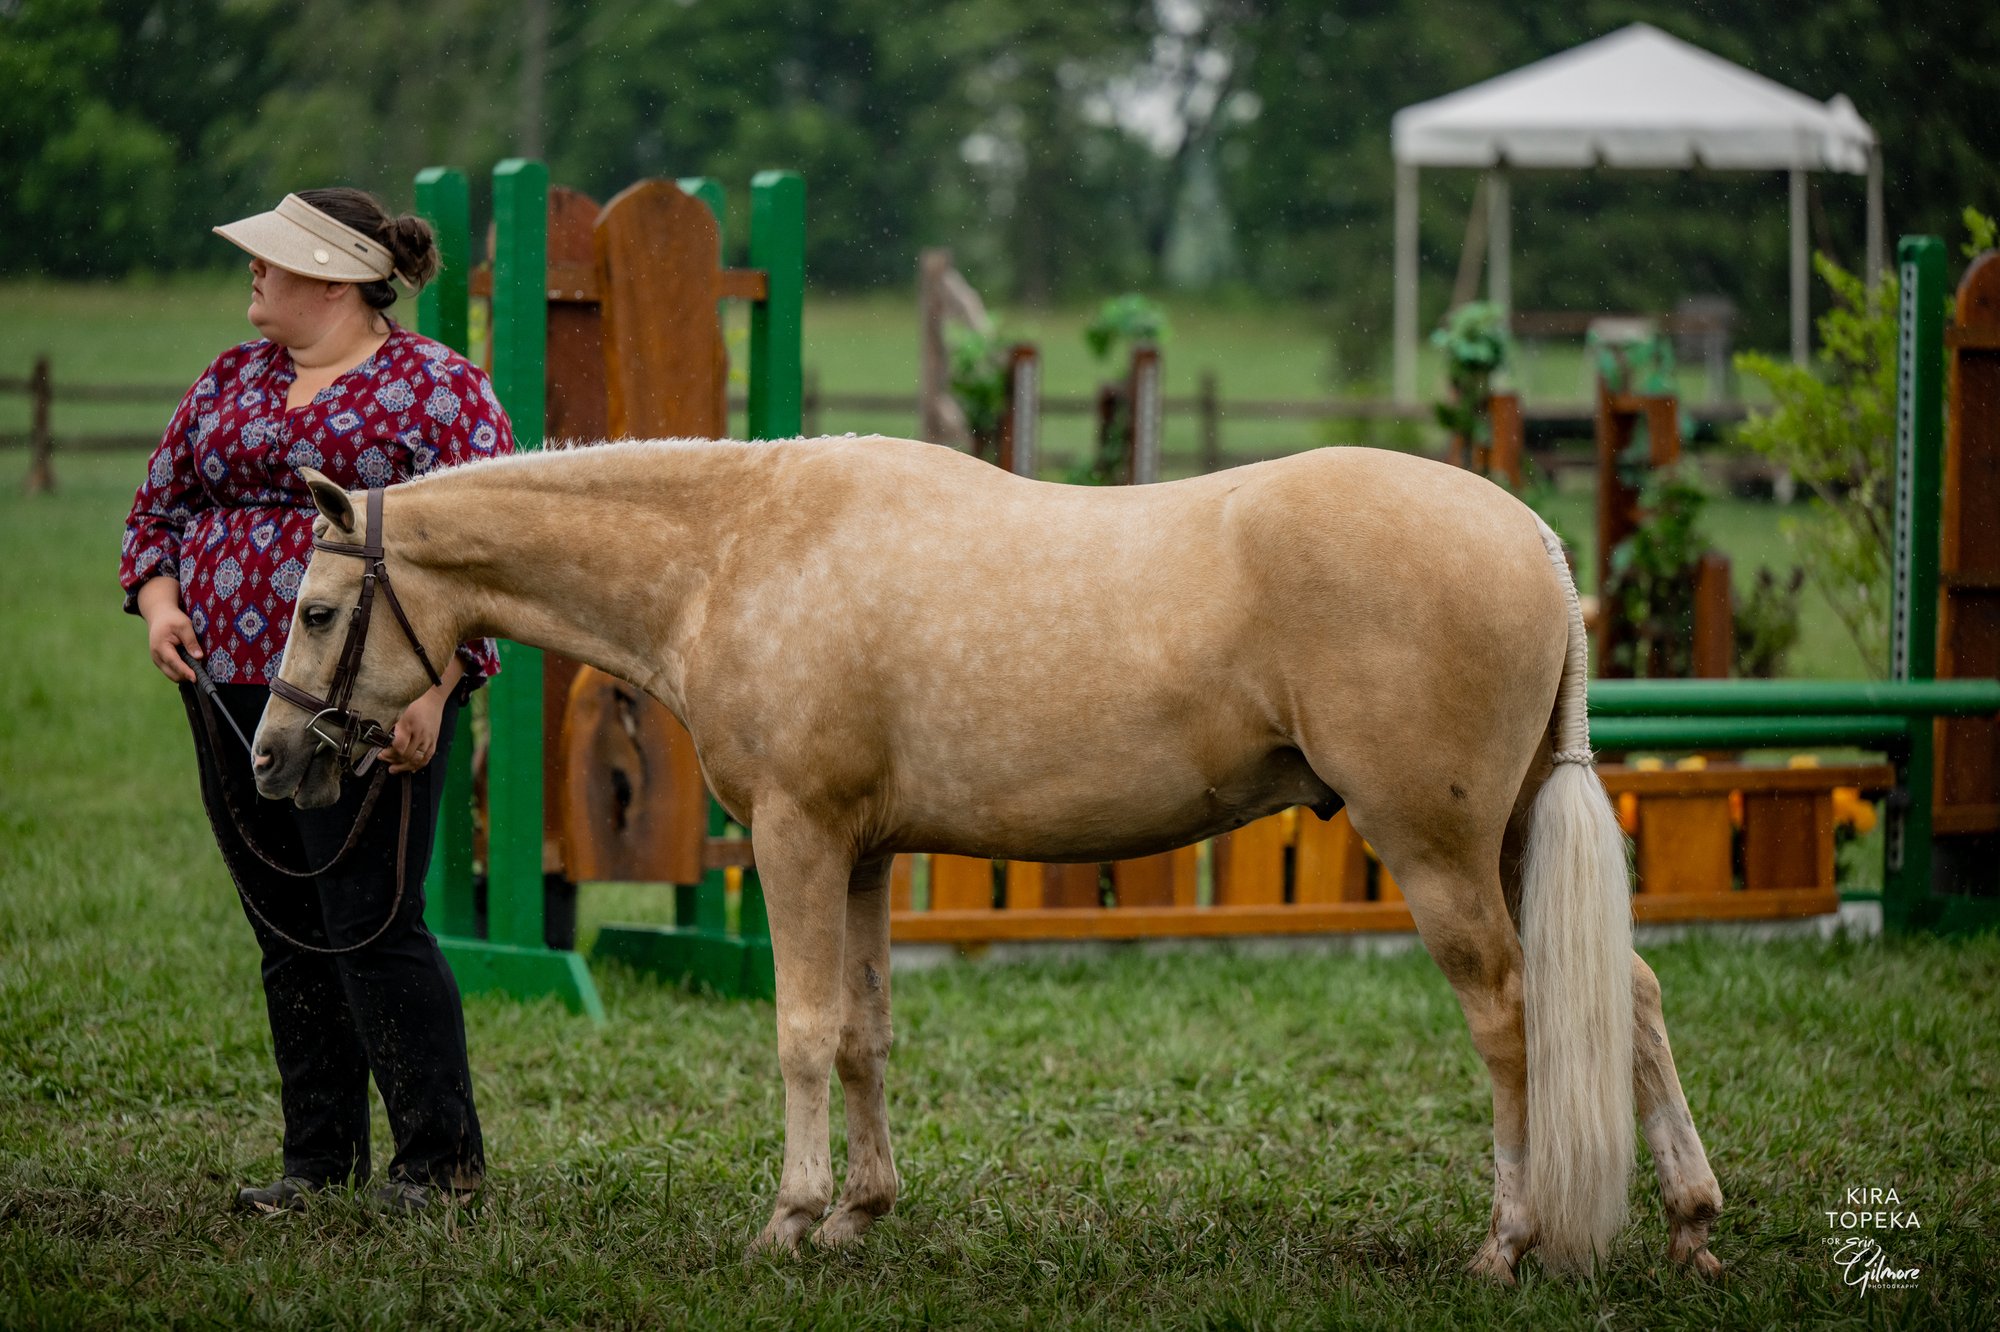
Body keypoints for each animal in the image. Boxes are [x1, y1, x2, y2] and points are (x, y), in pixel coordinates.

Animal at [252, 437, 1723, 1279]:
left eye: (316, 609)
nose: (272, 758)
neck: (738, 548)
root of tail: (1534, 538)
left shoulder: (794, 834)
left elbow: (799, 1030)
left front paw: (788, 1221)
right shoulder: (860, 852)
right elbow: (862, 1035)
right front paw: (860, 1215)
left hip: (1436, 852)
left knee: (1511, 1020)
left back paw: (1511, 1240)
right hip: (1516, 832)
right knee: (1632, 996)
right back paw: (1692, 1223)